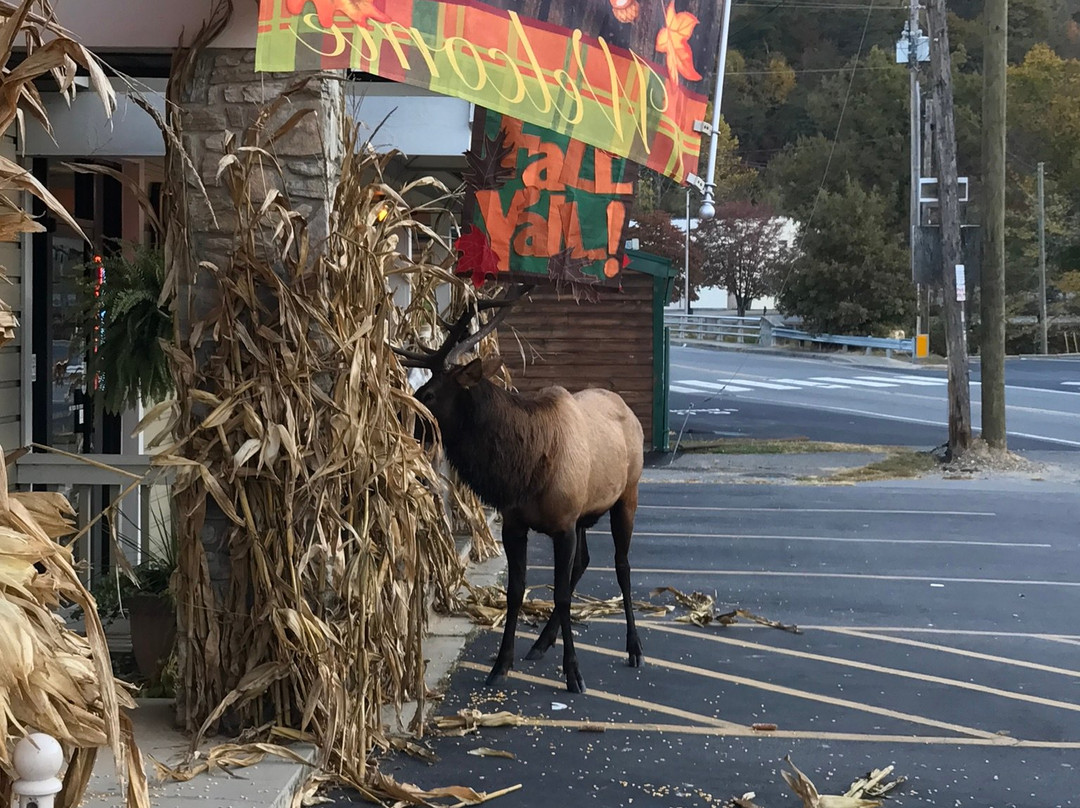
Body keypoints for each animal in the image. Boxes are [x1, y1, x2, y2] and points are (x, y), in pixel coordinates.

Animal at [395, 285, 639, 695]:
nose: (400, 424)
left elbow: (559, 592)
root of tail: (629, 410)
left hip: (627, 496)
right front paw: (500, 664)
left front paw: (573, 674)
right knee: (585, 561)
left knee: (622, 565)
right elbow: (515, 591)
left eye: (428, 395)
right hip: (586, 514)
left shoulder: (564, 524)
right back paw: (541, 643)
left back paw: (634, 649)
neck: (523, 472)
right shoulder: (517, 523)